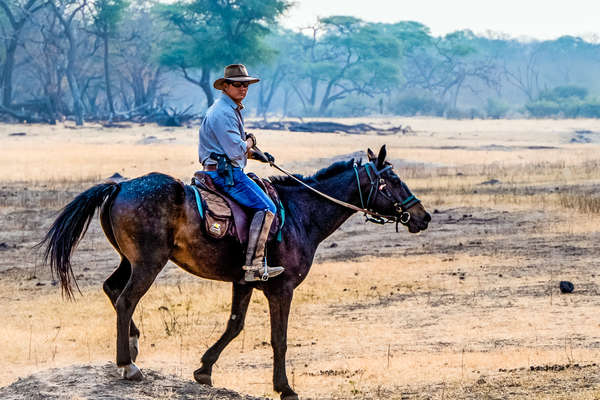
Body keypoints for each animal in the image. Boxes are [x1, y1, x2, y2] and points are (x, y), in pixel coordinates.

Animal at [38, 146, 432, 400]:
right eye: (393, 180)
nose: (423, 216)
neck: (301, 213)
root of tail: (120, 185)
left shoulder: (244, 282)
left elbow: (234, 326)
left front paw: (204, 370)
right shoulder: (282, 289)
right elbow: (279, 338)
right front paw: (284, 388)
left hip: (129, 261)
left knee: (111, 289)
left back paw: (133, 345)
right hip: (148, 264)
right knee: (125, 299)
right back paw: (128, 365)